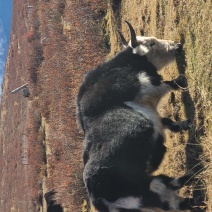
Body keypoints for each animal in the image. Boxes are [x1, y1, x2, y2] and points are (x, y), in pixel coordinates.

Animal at [77, 22, 193, 212]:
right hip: (146, 187)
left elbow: (165, 122)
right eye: (151, 43)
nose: (177, 46)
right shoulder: (148, 87)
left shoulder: (151, 112)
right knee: (167, 189)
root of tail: (99, 199)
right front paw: (182, 80)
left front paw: (184, 124)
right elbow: (168, 85)